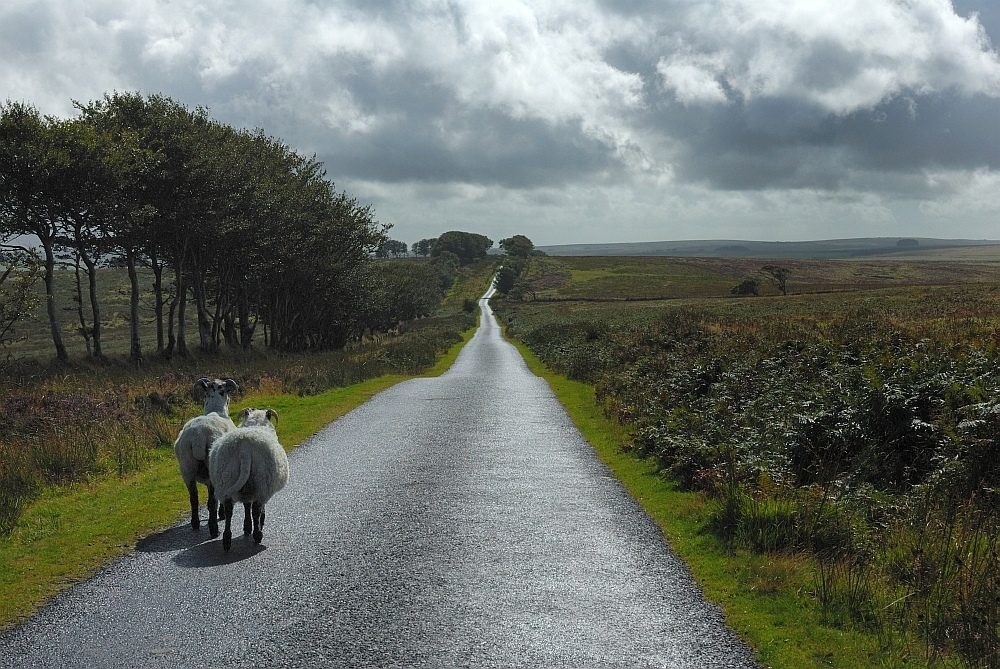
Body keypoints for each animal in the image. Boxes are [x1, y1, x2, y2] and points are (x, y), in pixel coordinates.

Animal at [174, 376, 238, 536]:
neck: (216, 409)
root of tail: (198, 437)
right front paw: (221, 514)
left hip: (187, 468)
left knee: (193, 498)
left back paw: (195, 523)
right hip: (212, 468)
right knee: (212, 500)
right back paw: (214, 528)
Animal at [209, 404, 290, 552]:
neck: (256, 423)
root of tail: (244, 449)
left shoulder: (246, 490)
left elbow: (246, 505)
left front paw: (247, 527)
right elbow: (257, 509)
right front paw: (256, 526)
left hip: (226, 478)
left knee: (229, 510)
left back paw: (227, 539)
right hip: (262, 482)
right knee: (256, 509)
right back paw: (258, 535)